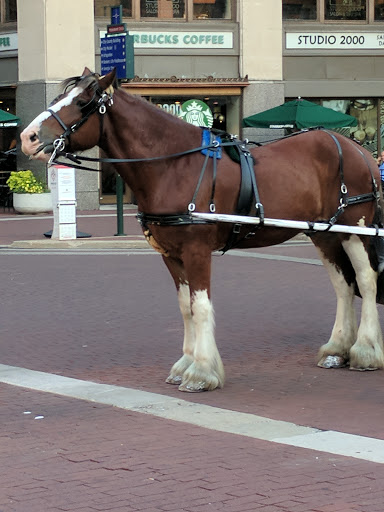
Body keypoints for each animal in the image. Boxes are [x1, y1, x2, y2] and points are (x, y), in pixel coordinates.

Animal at [19, 69, 384, 392]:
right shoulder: (171, 255)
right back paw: (336, 349)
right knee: (343, 284)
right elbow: (186, 308)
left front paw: (202, 372)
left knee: (365, 280)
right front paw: (186, 363)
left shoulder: (196, 250)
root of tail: (357, 148)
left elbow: (201, 306)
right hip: (324, 233)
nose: (27, 137)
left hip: (356, 228)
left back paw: (365, 350)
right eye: (57, 97)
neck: (173, 165)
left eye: (83, 102)